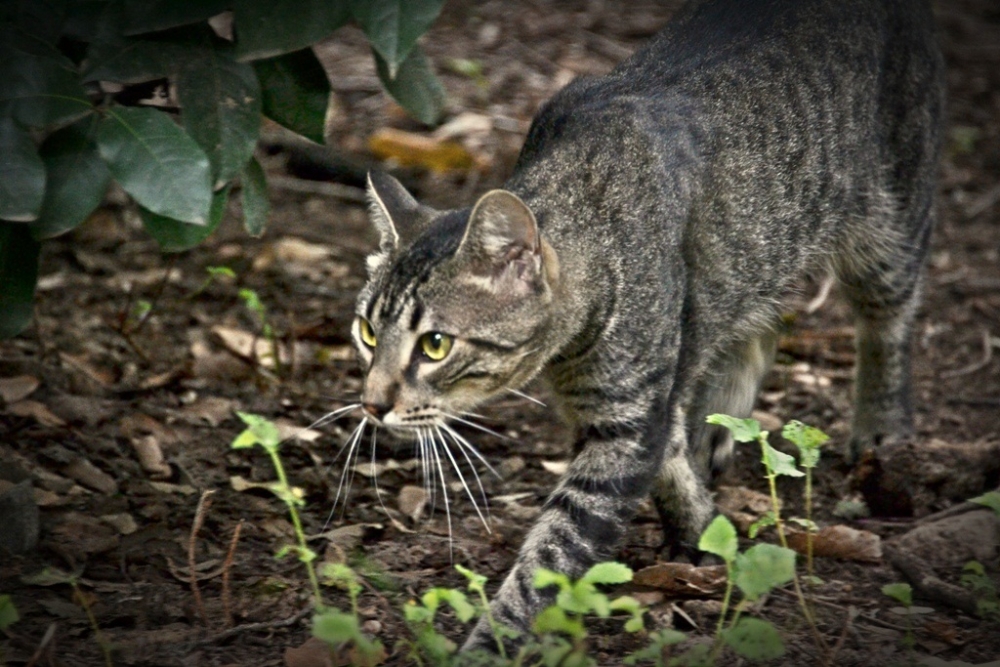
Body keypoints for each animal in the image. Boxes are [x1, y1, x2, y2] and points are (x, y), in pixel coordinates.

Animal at [354, 0, 944, 652]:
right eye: (366, 333)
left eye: (435, 345)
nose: (371, 405)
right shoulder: (625, 402)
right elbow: (672, 458)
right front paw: (702, 525)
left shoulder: (627, 420)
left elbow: (549, 556)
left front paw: (492, 642)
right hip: (755, 254)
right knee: (758, 322)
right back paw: (722, 418)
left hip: (888, 221)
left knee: (888, 320)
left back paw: (882, 427)